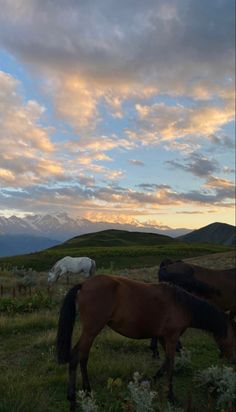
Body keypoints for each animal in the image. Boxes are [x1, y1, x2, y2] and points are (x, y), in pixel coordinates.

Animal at [55, 276, 236, 410]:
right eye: (235, 337)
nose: (233, 361)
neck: (182, 305)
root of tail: (84, 284)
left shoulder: (163, 337)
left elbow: (166, 361)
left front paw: (154, 378)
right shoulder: (171, 337)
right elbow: (171, 363)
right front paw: (171, 395)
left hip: (91, 331)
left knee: (83, 356)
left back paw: (87, 390)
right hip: (92, 329)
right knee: (76, 356)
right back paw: (72, 399)